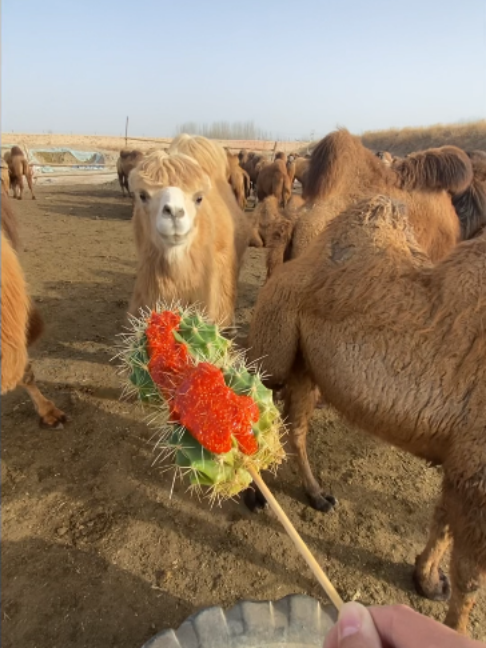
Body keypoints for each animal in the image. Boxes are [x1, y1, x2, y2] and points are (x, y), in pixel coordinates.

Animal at [247, 194, 486, 636]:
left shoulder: (460, 460)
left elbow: (443, 520)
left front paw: (427, 580)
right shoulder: (476, 470)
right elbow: (470, 579)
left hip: (307, 363)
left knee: (295, 423)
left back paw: (318, 495)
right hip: (275, 339)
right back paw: (253, 495)